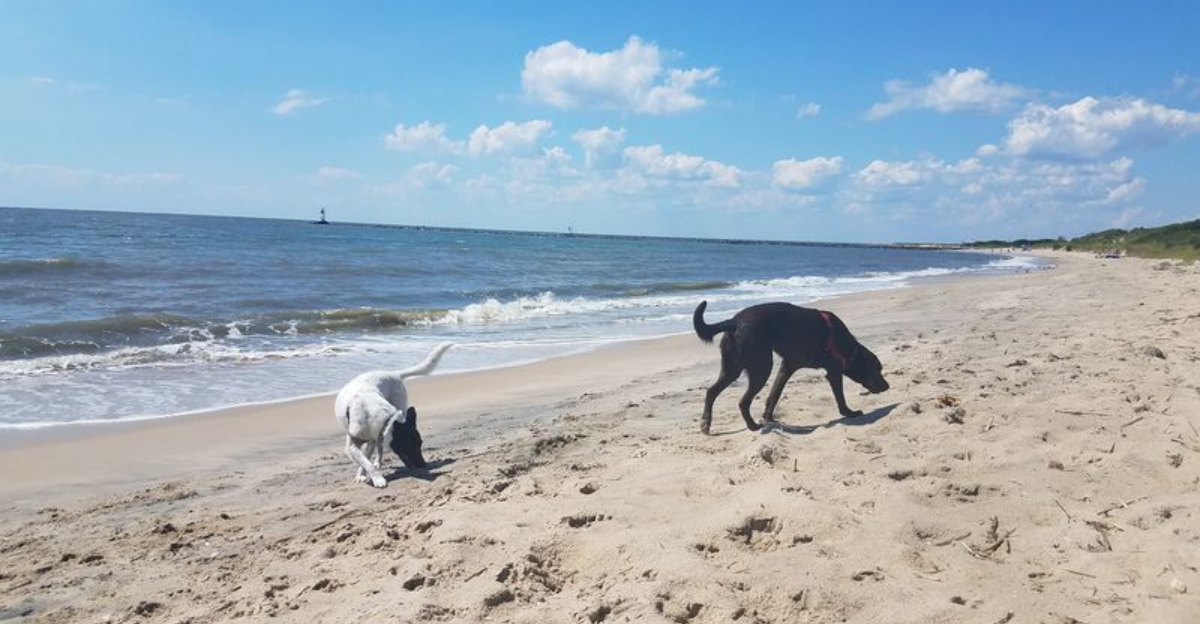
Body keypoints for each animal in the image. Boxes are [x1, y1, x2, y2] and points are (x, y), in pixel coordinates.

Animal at [334, 342, 451, 487]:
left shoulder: (373, 439)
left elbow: (366, 458)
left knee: (379, 449)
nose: (423, 466)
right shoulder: (352, 445)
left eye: (420, 443)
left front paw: (367, 475)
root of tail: (394, 374)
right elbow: (365, 461)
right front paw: (375, 478)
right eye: (409, 446)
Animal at [693, 301, 888, 434]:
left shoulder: (787, 367)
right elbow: (840, 398)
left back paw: (706, 423)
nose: (887, 386)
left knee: (711, 391)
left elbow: (774, 394)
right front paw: (849, 413)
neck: (847, 346)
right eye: (877, 369)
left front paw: (769, 417)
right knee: (742, 401)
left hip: (732, 369)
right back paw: (752, 426)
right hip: (761, 368)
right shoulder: (833, 373)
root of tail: (733, 321)